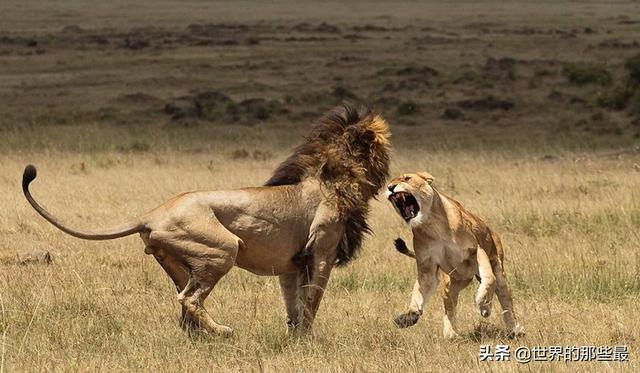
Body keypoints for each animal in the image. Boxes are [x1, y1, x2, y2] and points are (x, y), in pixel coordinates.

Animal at [22, 103, 390, 336]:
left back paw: (199, 337)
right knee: (189, 299)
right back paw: (224, 332)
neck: (336, 178)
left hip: (179, 260)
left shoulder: (291, 265)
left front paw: (294, 338)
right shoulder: (322, 252)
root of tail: (150, 214)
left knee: (186, 306)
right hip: (221, 249)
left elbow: (294, 305)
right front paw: (307, 341)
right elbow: (312, 300)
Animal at [384, 171, 524, 338]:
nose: (390, 188)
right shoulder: (427, 267)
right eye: (389, 183)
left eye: (407, 178)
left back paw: (514, 329)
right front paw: (409, 316)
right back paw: (451, 334)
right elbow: (419, 292)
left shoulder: (476, 250)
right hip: (453, 282)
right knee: (450, 305)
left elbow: (490, 279)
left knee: (503, 295)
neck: (432, 225)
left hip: (498, 268)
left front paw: (482, 303)